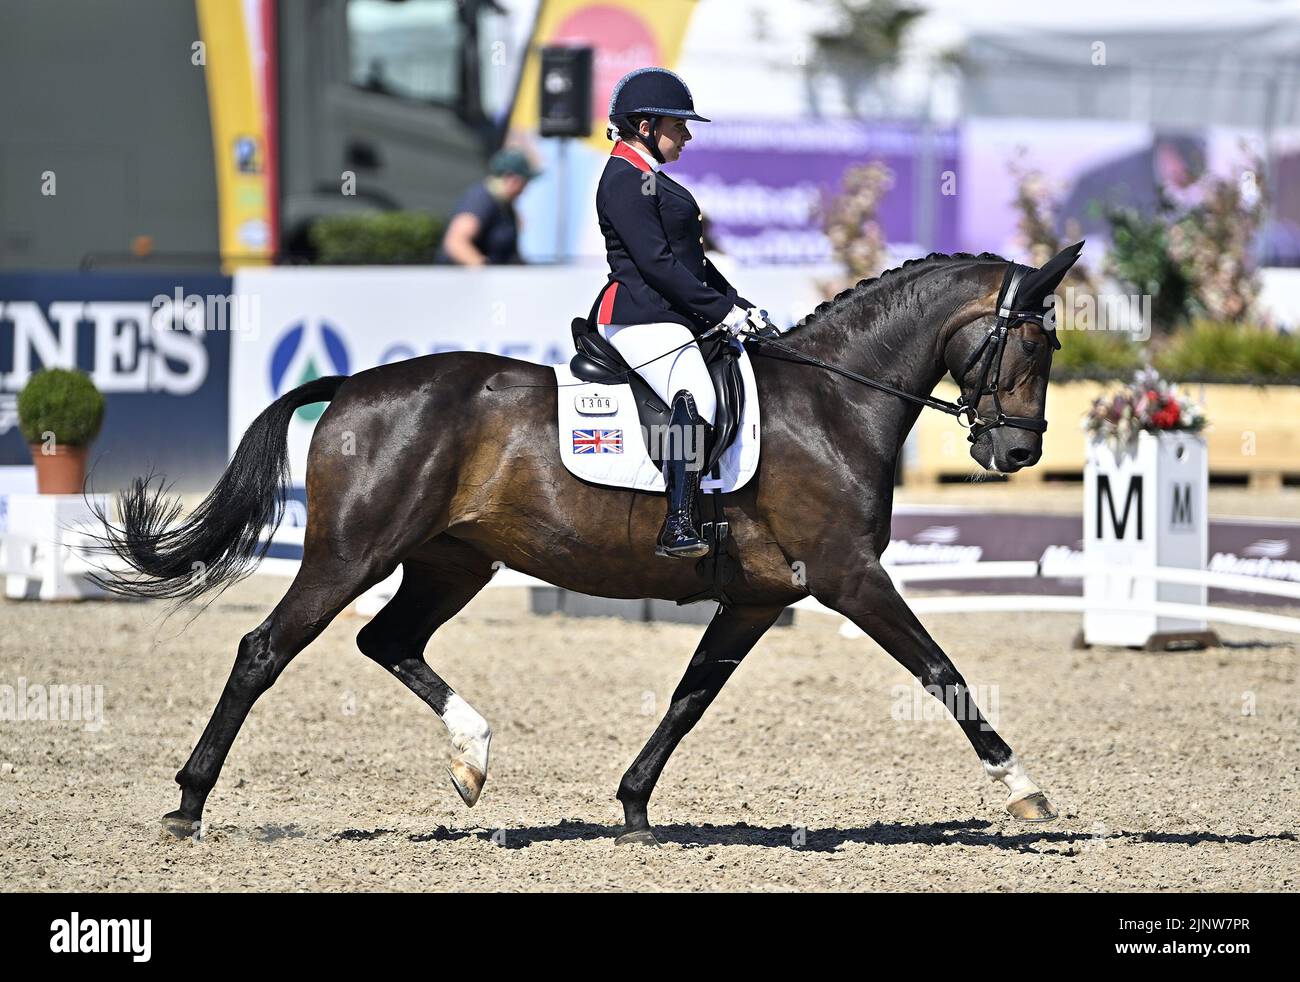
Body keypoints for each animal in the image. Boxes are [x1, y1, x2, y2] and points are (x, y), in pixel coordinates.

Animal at [96, 245, 1081, 842]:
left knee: (388, 639)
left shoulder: (759, 597)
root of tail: (351, 387)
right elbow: (944, 672)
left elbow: (689, 699)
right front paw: (1025, 788)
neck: (834, 402)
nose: (1017, 454)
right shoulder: (850, 577)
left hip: (454, 560)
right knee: (264, 650)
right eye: (1034, 347)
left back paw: (472, 758)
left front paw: (635, 808)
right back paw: (188, 804)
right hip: (349, 556)